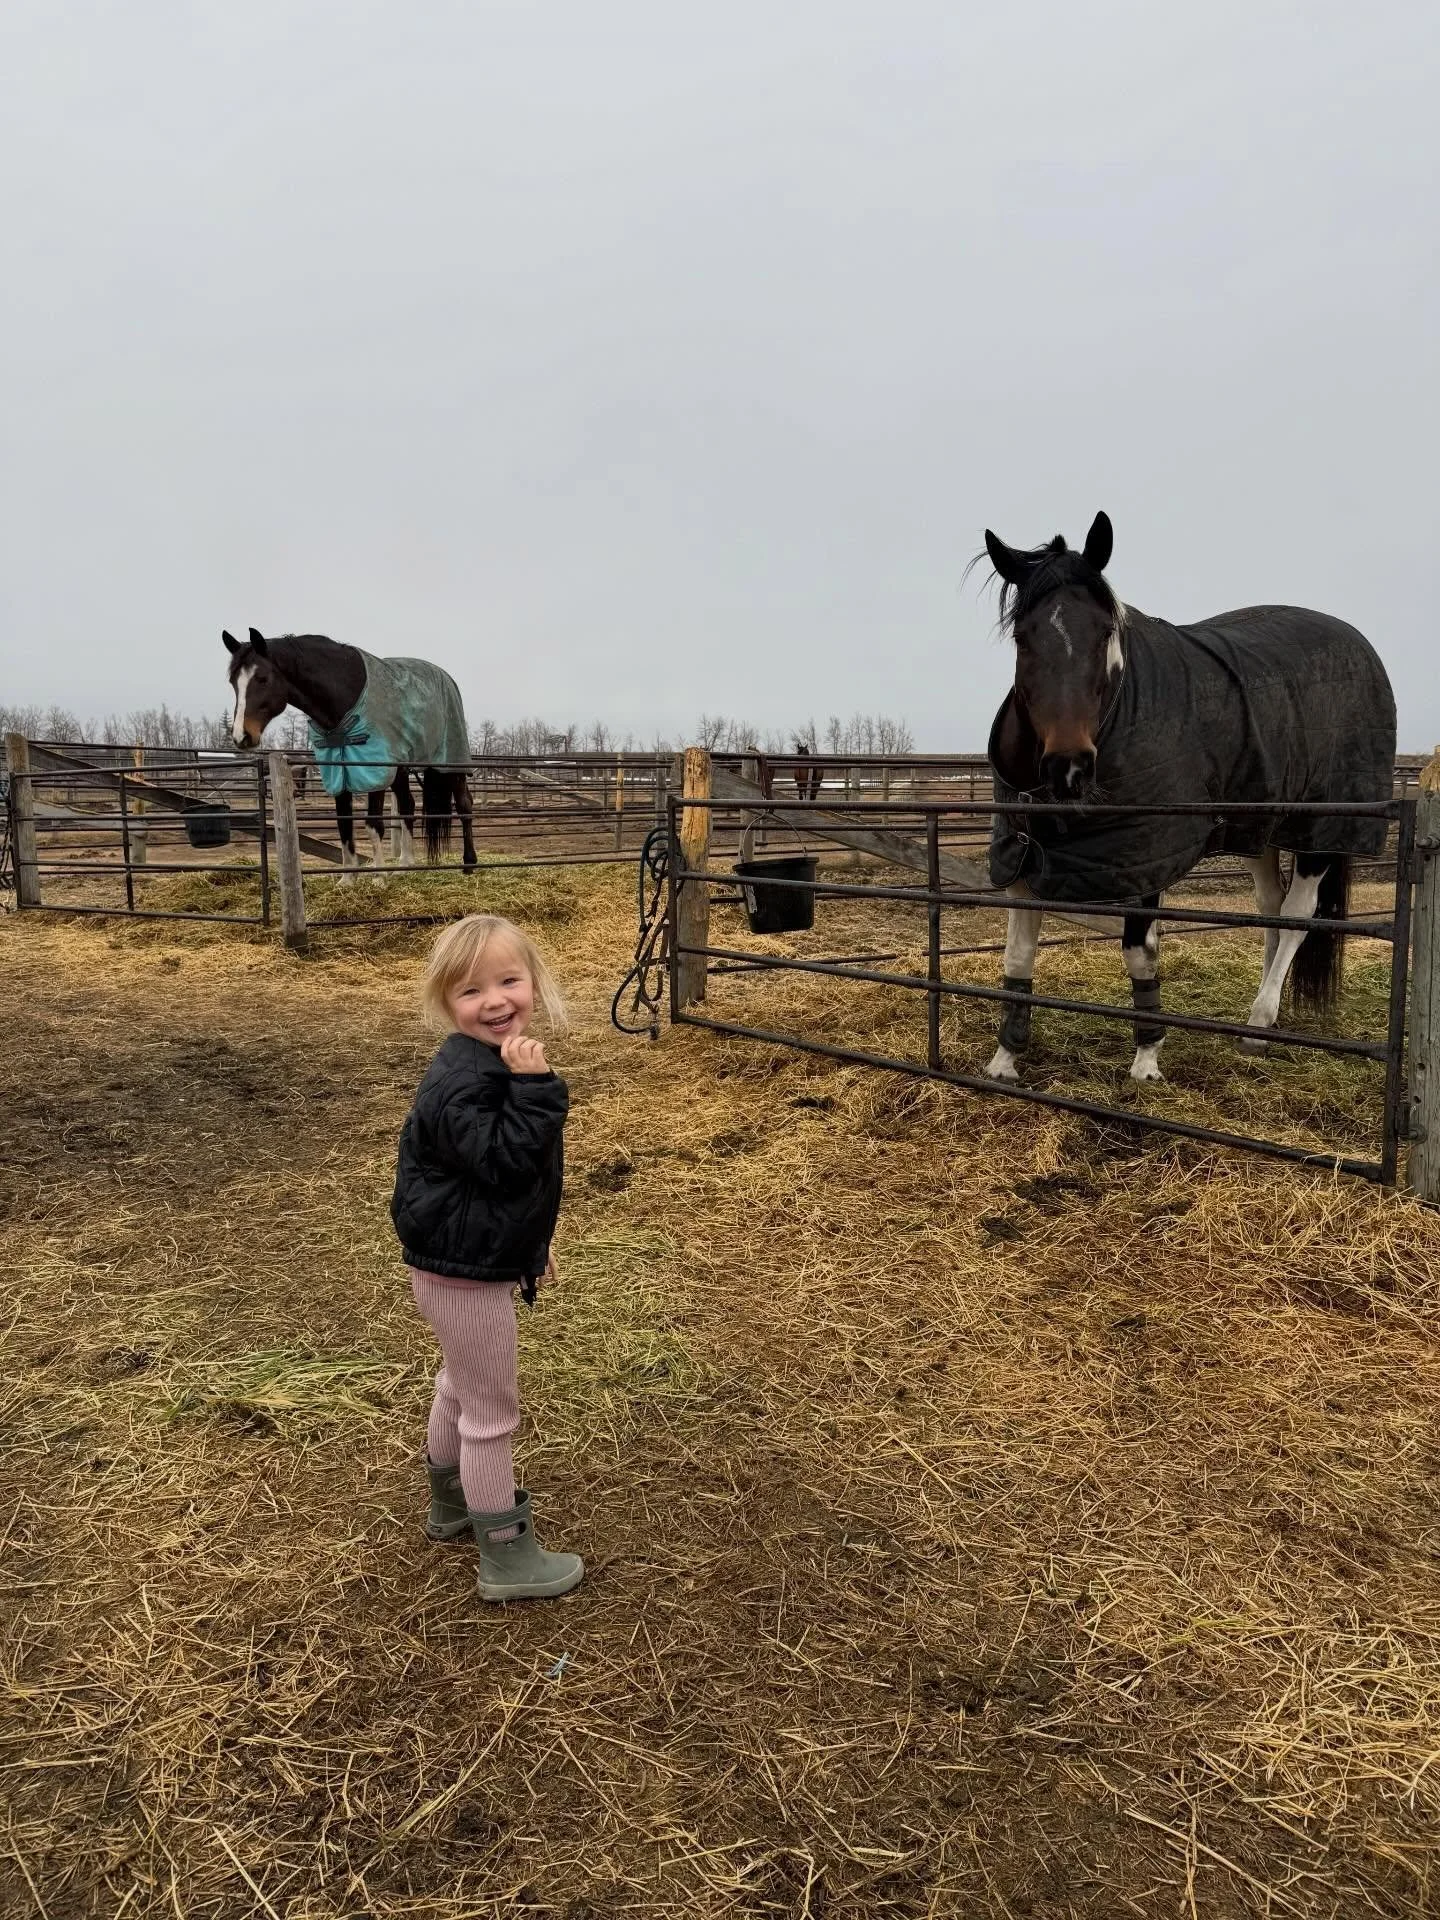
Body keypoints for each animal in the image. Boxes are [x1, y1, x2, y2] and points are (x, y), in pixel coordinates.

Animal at [223, 629, 477, 874]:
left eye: (262, 678)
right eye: (233, 682)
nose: (241, 736)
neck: (344, 695)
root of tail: (446, 678)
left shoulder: (374, 769)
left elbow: (373, 825)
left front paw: (379, 877)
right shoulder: (338, 770)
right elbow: (344, 824)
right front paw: (348, 879)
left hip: (451, 763)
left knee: (464, 805)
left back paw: (469, 863)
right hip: (401, 768)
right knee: (408, 806)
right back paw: (405, 865)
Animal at [978, 513, 1396, 1084]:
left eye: (1105, 633)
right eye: (1024, 636)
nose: (1069, 767)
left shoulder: (1145, 859)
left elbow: (1140, 952)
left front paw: (1147, 1059)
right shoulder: (1025, 856)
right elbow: (1017, 956)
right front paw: (1005, 1060)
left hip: (1321, 831)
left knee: (1297, 914)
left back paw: (1258, 1025)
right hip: (1259, 828)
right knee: (1270, 907)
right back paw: (1268, 1015)